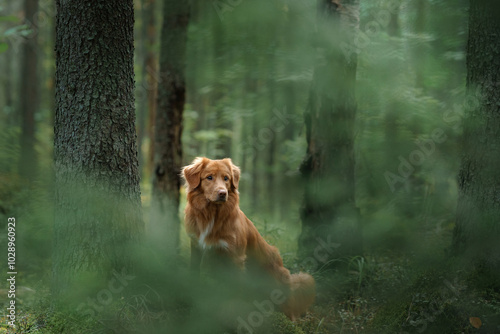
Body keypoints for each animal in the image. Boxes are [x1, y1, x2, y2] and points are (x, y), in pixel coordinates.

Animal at [181, 158, 312, 320]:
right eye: (209, 177)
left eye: (226, 178)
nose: (222, 193)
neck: (212, 214)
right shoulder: (196, 245)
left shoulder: (236, 256)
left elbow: (236, 287)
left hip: (276, 276)